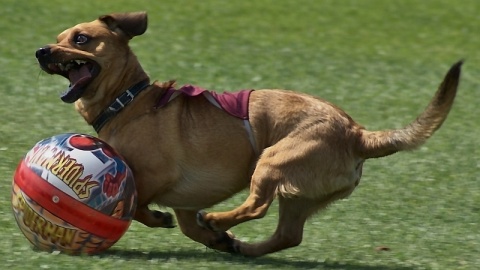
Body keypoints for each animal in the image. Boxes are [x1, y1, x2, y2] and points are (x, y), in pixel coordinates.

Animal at [34, 11, 462, 256]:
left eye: (81, 39)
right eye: (58, 38)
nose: (41, 50)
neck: (128, 100)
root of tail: (357, 133)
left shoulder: (152, 178)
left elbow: (138, 207)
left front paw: (164, 220)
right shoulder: (186, 198)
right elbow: (185, 223)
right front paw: (211, 240)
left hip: (272, 160)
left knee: (257, 206)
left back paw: (220, 221)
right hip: (299, 195)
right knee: (288, 236)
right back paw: (239, 245)